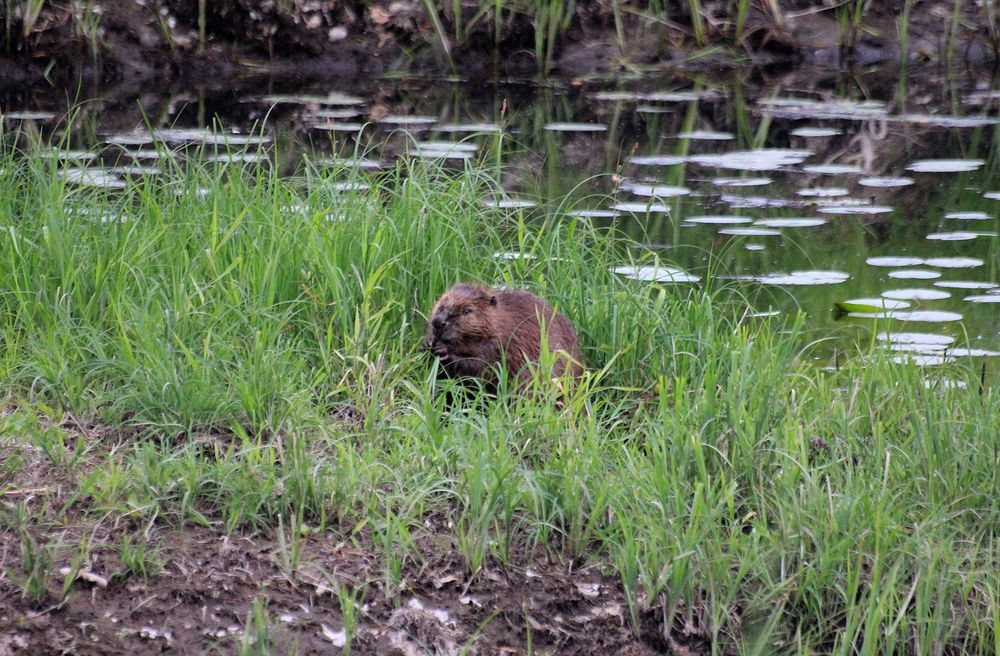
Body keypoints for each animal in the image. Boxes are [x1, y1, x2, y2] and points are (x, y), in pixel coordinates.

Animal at [424, 282, 584, 390]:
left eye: (467, 311)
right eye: (441, 303)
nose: (438, 321)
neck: (502, 322)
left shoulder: (502, 343)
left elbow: (481, 366)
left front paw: (444, 351)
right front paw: (427, 343)